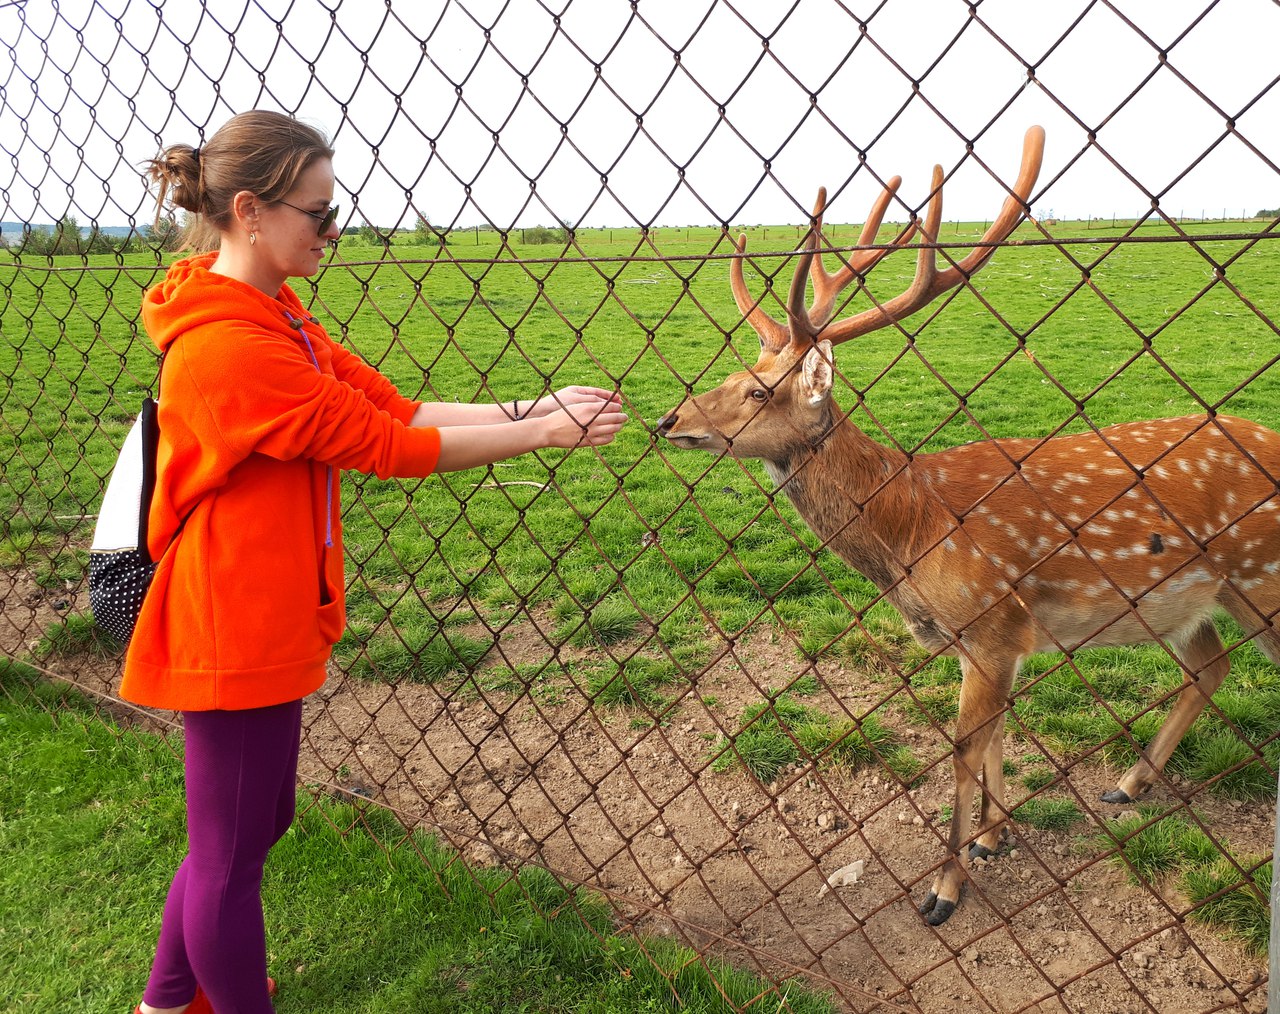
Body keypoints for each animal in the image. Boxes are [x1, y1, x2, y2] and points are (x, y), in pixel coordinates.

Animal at [655, 122, 1280, 921]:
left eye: (759, 391)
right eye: (734, 373)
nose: (669, 420)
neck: (911, 528)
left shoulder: (990, 617)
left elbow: (960, 749)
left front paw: (945, 887)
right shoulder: (981, 636)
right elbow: (995, 737)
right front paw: (993, 835)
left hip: (1261, 580)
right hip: (1190, 598)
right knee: (1211, 664)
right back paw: (1127, 785)